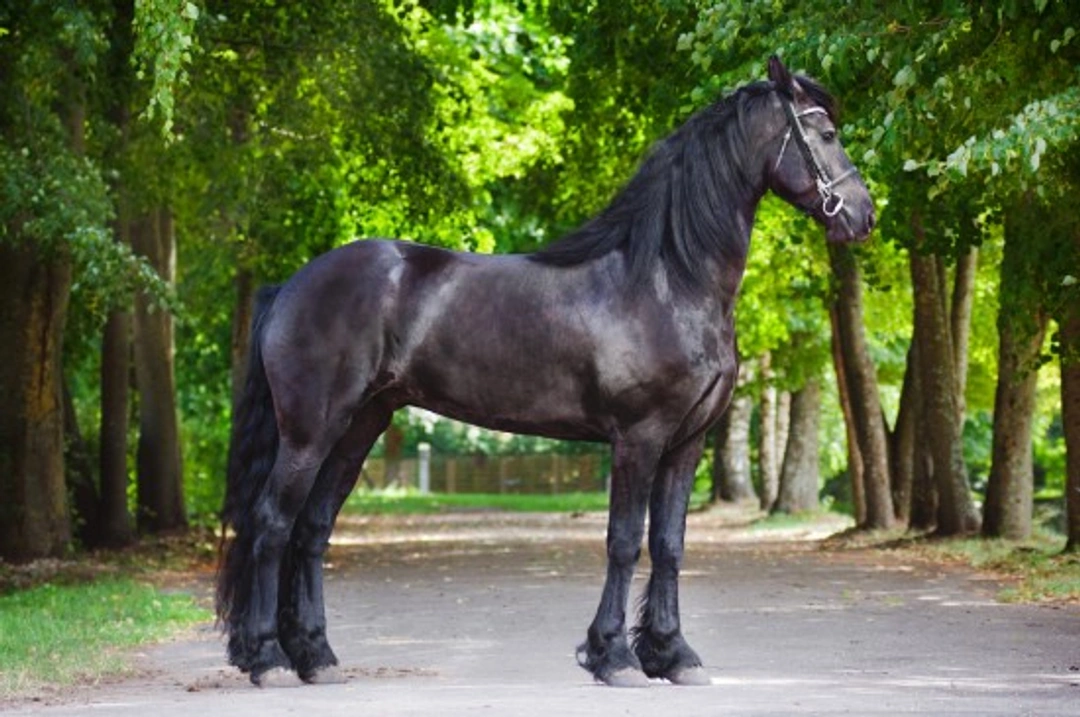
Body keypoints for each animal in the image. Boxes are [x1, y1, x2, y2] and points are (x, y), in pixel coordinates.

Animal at [216, 55, 875, 689]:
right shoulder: (638, 438)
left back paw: (316, 656)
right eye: (826, 133)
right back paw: (270, 659)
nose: (863, 215)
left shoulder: (687, 441)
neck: (667, 279)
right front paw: (614, 658)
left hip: (359, 427)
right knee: (272, 524)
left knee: (311, 530)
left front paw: (674, 655)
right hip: (311, 432)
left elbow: (669, 544)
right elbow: (623, 542)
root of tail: (291, 286)